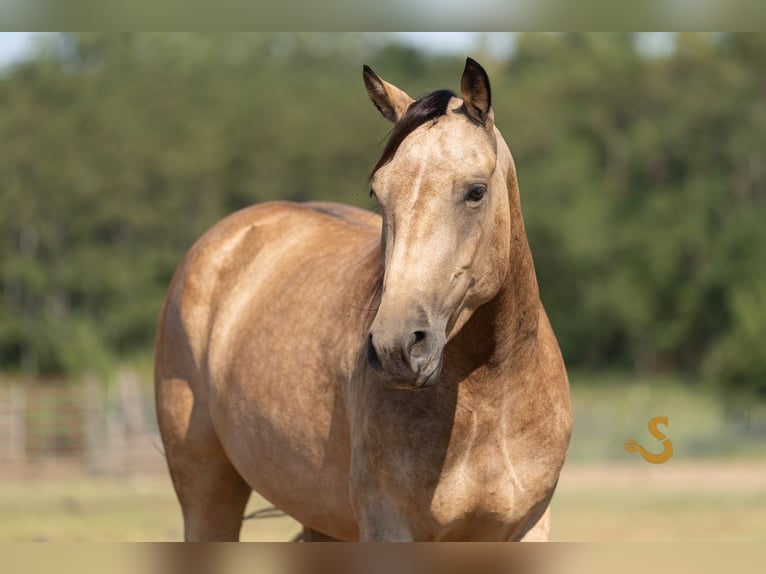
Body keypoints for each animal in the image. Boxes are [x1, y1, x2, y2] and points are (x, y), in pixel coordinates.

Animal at [154, 58, 572, 541]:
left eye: (475, 191)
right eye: (378, 191)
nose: (396, 348)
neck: (492, 402)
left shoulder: (528, 527)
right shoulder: (388, 526)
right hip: (207, 495)